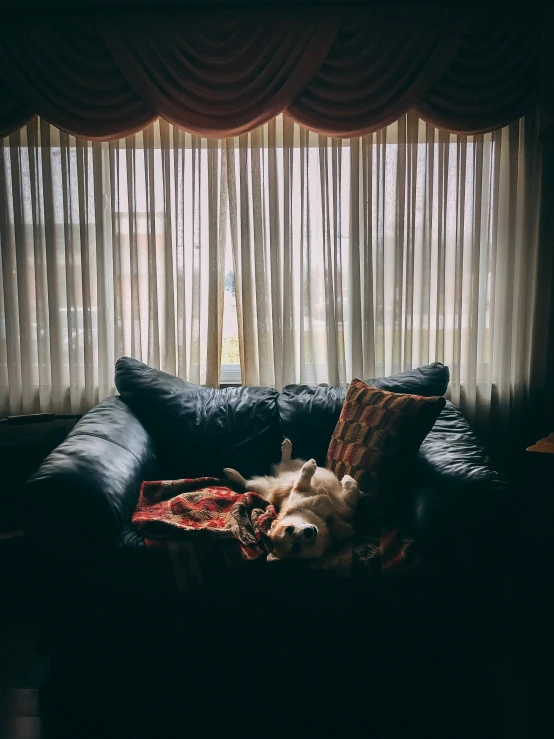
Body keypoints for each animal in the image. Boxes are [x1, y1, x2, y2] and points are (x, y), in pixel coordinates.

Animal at [222, 440, 360, 560]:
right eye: (296, 547)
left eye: (289, 528)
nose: (309, 531)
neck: (323, 517)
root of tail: (274, 481)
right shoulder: (299, 490)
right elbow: (303, 480)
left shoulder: (346, 509)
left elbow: (351, 496)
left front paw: (347, 481)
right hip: (259, 487)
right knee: (246, 483)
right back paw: (232, 473)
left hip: (285, 472)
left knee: (286, 463)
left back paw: (286, 447)